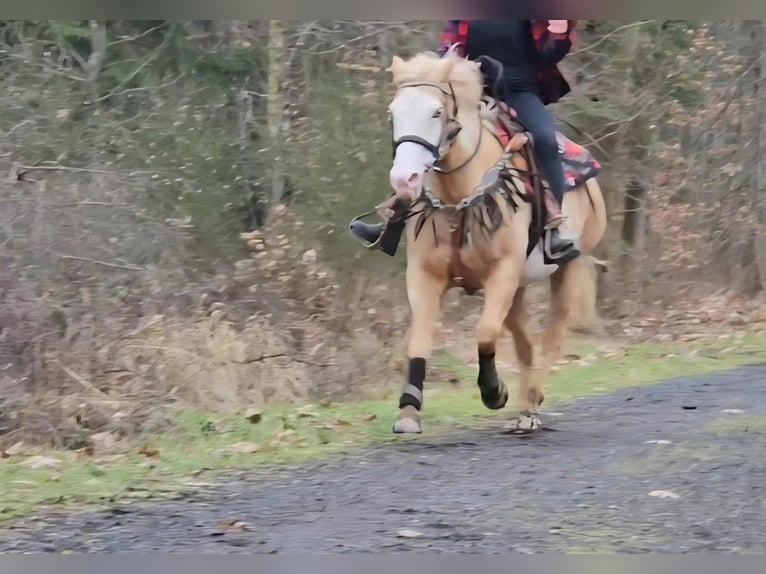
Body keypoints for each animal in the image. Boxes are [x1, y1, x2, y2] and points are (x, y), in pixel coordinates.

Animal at [383, 50, 607, 435]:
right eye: (393, 113)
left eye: (436, 112)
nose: (404, 179)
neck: (459, 200)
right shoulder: (425, 275)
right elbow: (419, 339)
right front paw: (409, 409)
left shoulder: (502, 273)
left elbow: (486, 333)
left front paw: (493, 391)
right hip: (519, 289)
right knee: (526, 345)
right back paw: (524, 408)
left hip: (569, 269)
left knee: (551, 339)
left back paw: (530, 406)